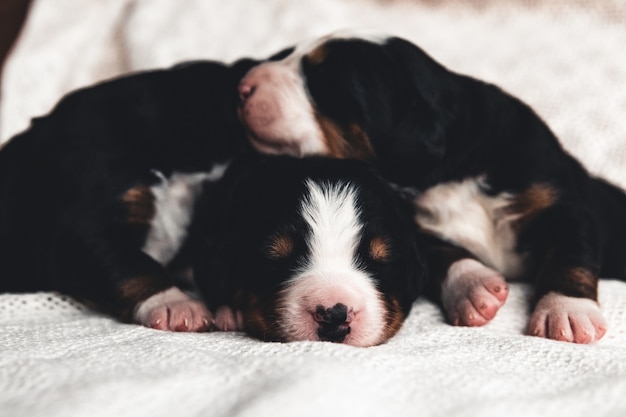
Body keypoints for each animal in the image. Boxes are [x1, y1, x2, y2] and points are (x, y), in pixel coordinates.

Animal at [235, 34, 624, 342]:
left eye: (321, 79)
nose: (243, 86)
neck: (449, 173)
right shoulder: (412, 226)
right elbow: (443, 254)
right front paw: (473, 287)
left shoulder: (560, 198)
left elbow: (569, 252)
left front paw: (567, 312)